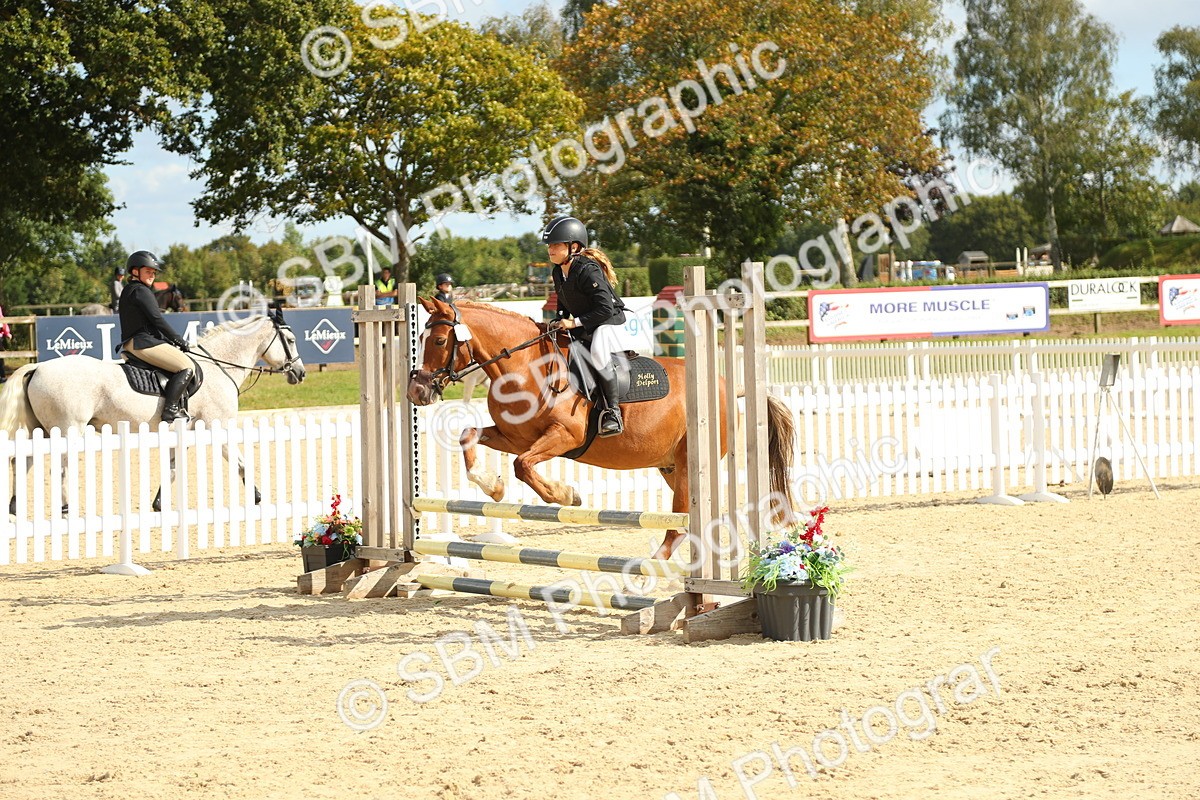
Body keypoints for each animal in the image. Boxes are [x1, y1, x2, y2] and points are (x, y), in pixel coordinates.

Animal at [0, 309, 306, 515]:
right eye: (290, 340)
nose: (300, 373)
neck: (219, 366)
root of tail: (37, 367)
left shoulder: (186, 431)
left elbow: (172, 467)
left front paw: (158, 504)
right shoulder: (216, 427)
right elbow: (240, 462)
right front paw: (257, 497)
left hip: (40, 429)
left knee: (23, 461)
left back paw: (15, 507)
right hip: (67, 429)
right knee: (58, 467)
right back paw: (64, 507)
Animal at [406, 298, 796, 560]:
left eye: (438, 341)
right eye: (419, 340)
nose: (416, 392)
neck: (526, 366)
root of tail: (728, 385)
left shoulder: (563, 437)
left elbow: (523, 466)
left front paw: (565, 495)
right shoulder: (516, 438)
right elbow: (470, 436)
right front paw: (494, 487)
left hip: (689, 463)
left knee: (680, 522)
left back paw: (651, 571)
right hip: (671, 466)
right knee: (690, 519)